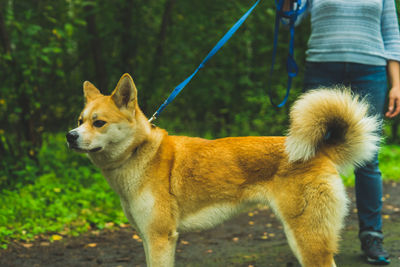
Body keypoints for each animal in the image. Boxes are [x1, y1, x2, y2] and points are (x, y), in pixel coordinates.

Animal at [67, 74, 380, 267]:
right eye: (80, 120)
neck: (140, 154)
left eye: (99, 122)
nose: (70, 136)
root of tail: (320, 150)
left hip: (307, 239)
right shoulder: (148, 238)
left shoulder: (160, 238)